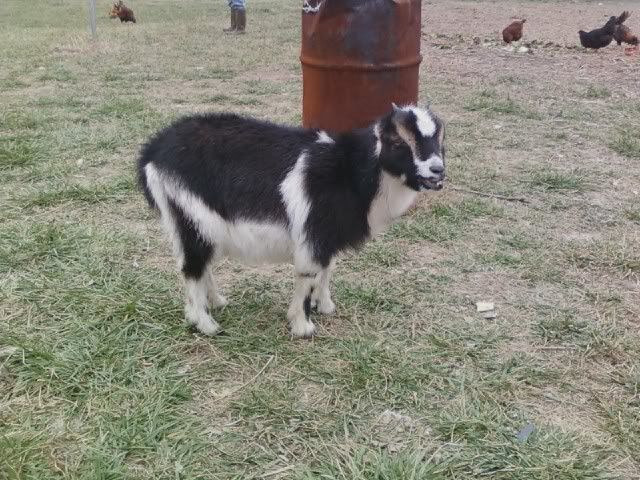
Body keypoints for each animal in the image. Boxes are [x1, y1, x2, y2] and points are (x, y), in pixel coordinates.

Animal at [137, 105, 446, 338]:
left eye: (440, 140)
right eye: (398, 142)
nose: (437, 171)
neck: (352, 172)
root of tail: (152, 151)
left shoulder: (326, 235)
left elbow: (327, 269)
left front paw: (325, 305)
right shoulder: (314, 232)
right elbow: (309, 274)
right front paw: (302, 326)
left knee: (201, 265)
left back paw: (216, 302)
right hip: (191, 214)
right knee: (191, 268)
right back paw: (205, 323)